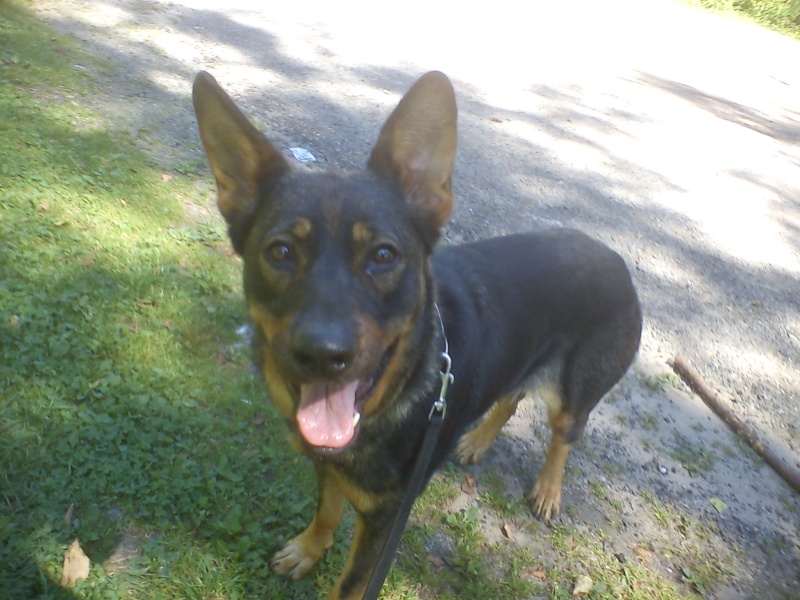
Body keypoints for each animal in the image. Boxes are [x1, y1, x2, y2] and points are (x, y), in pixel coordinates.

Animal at [194, 71, 644, 600]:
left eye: (384, 255)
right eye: (280, 252)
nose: (324, 354)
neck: (397, 398)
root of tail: (615, 259)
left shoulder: (386, 518)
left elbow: (351, 583)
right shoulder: (330, 466)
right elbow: (327, 509)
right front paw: (308, 549)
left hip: (575, 392)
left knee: (565, 433)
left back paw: (549, 488)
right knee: (512, 395)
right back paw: (477, 440)